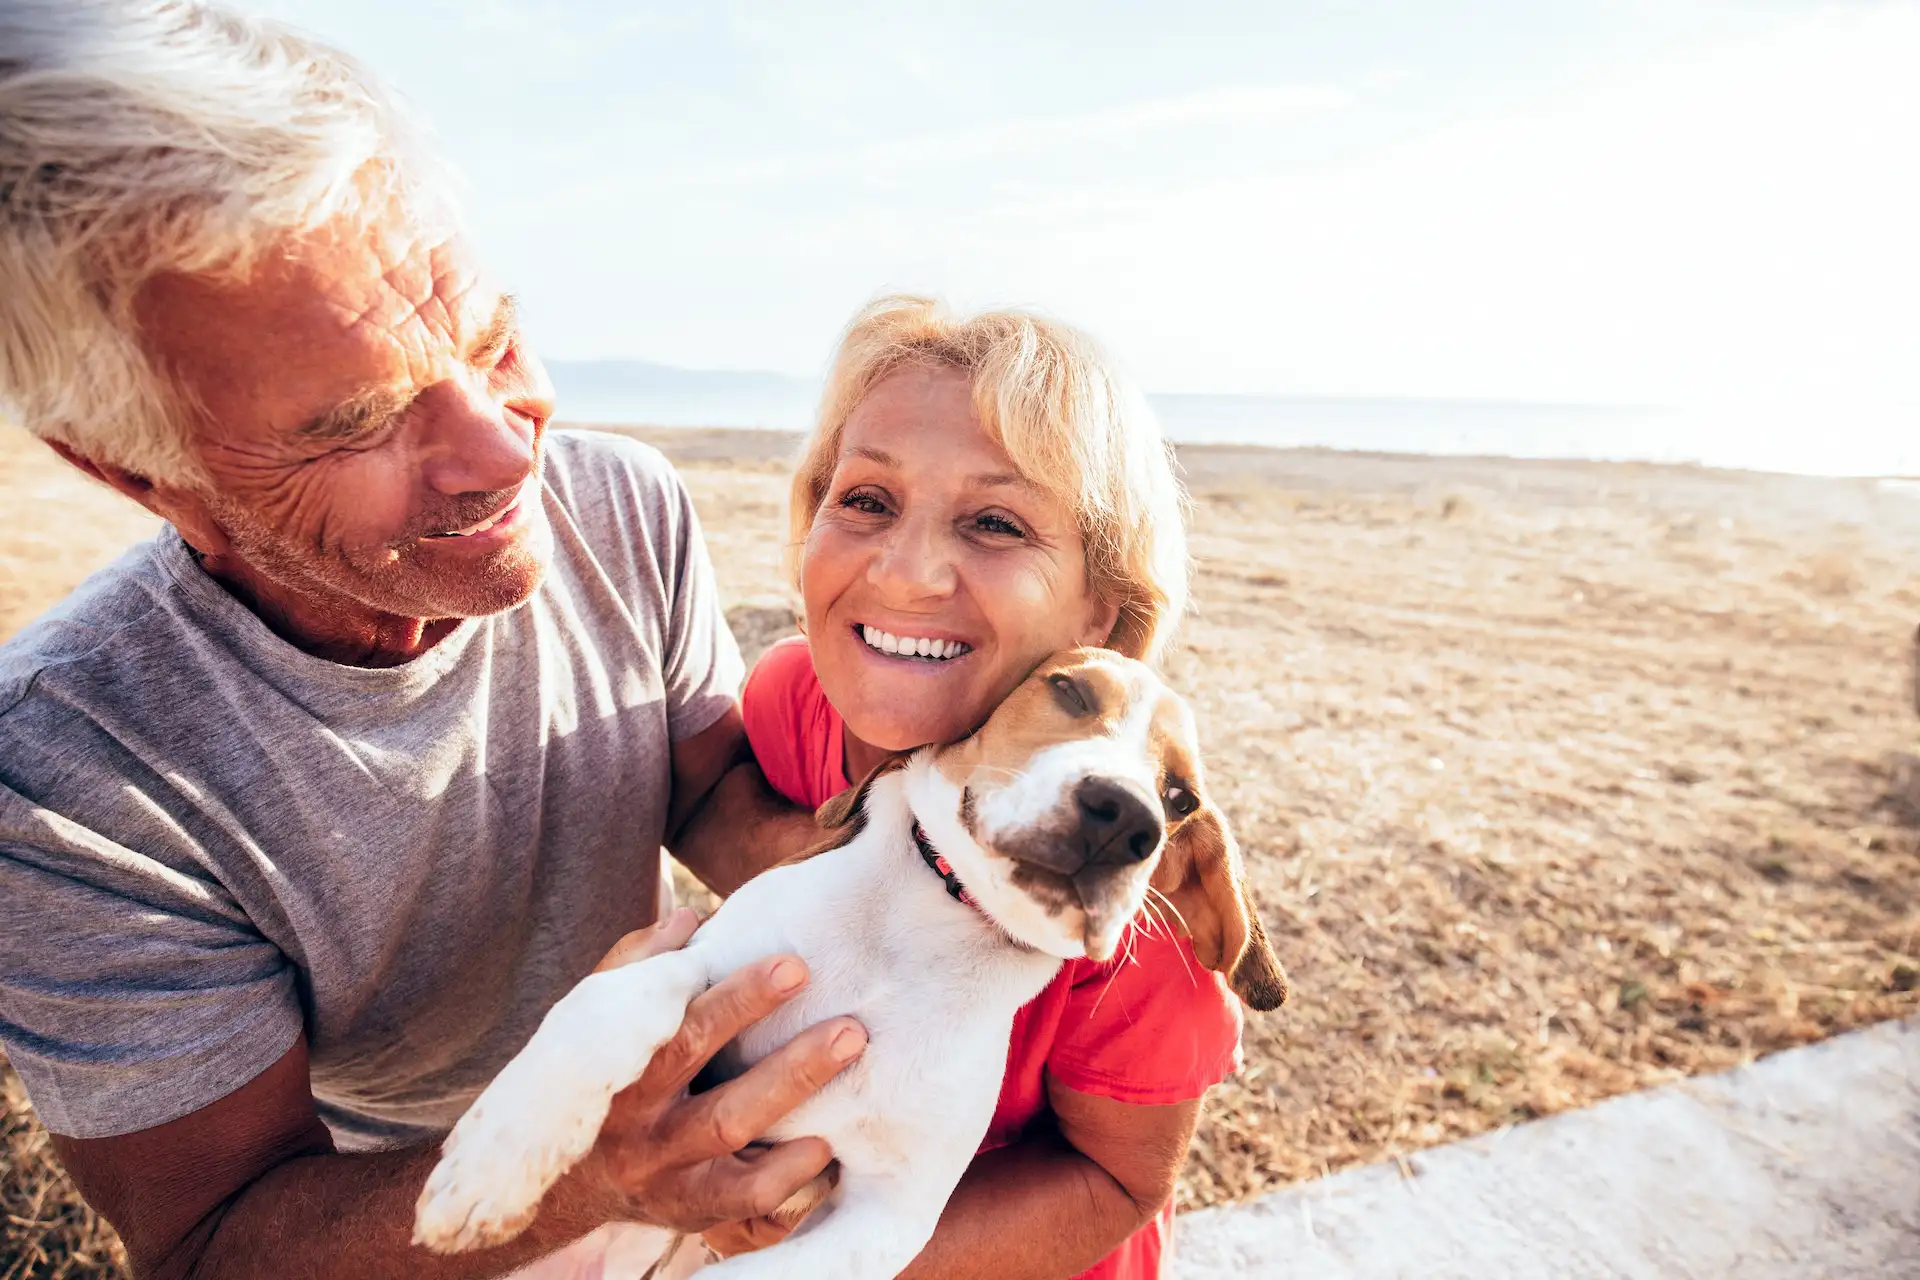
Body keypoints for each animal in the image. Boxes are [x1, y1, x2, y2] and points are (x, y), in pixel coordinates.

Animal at [412, 652, 1282, 1280]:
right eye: (1066, 689)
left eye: (1181, 799)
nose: (1126, 819)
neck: (925, 929)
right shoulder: (713, 951)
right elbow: (626, 993)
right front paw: (493, 1165)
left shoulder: (888, 1217)